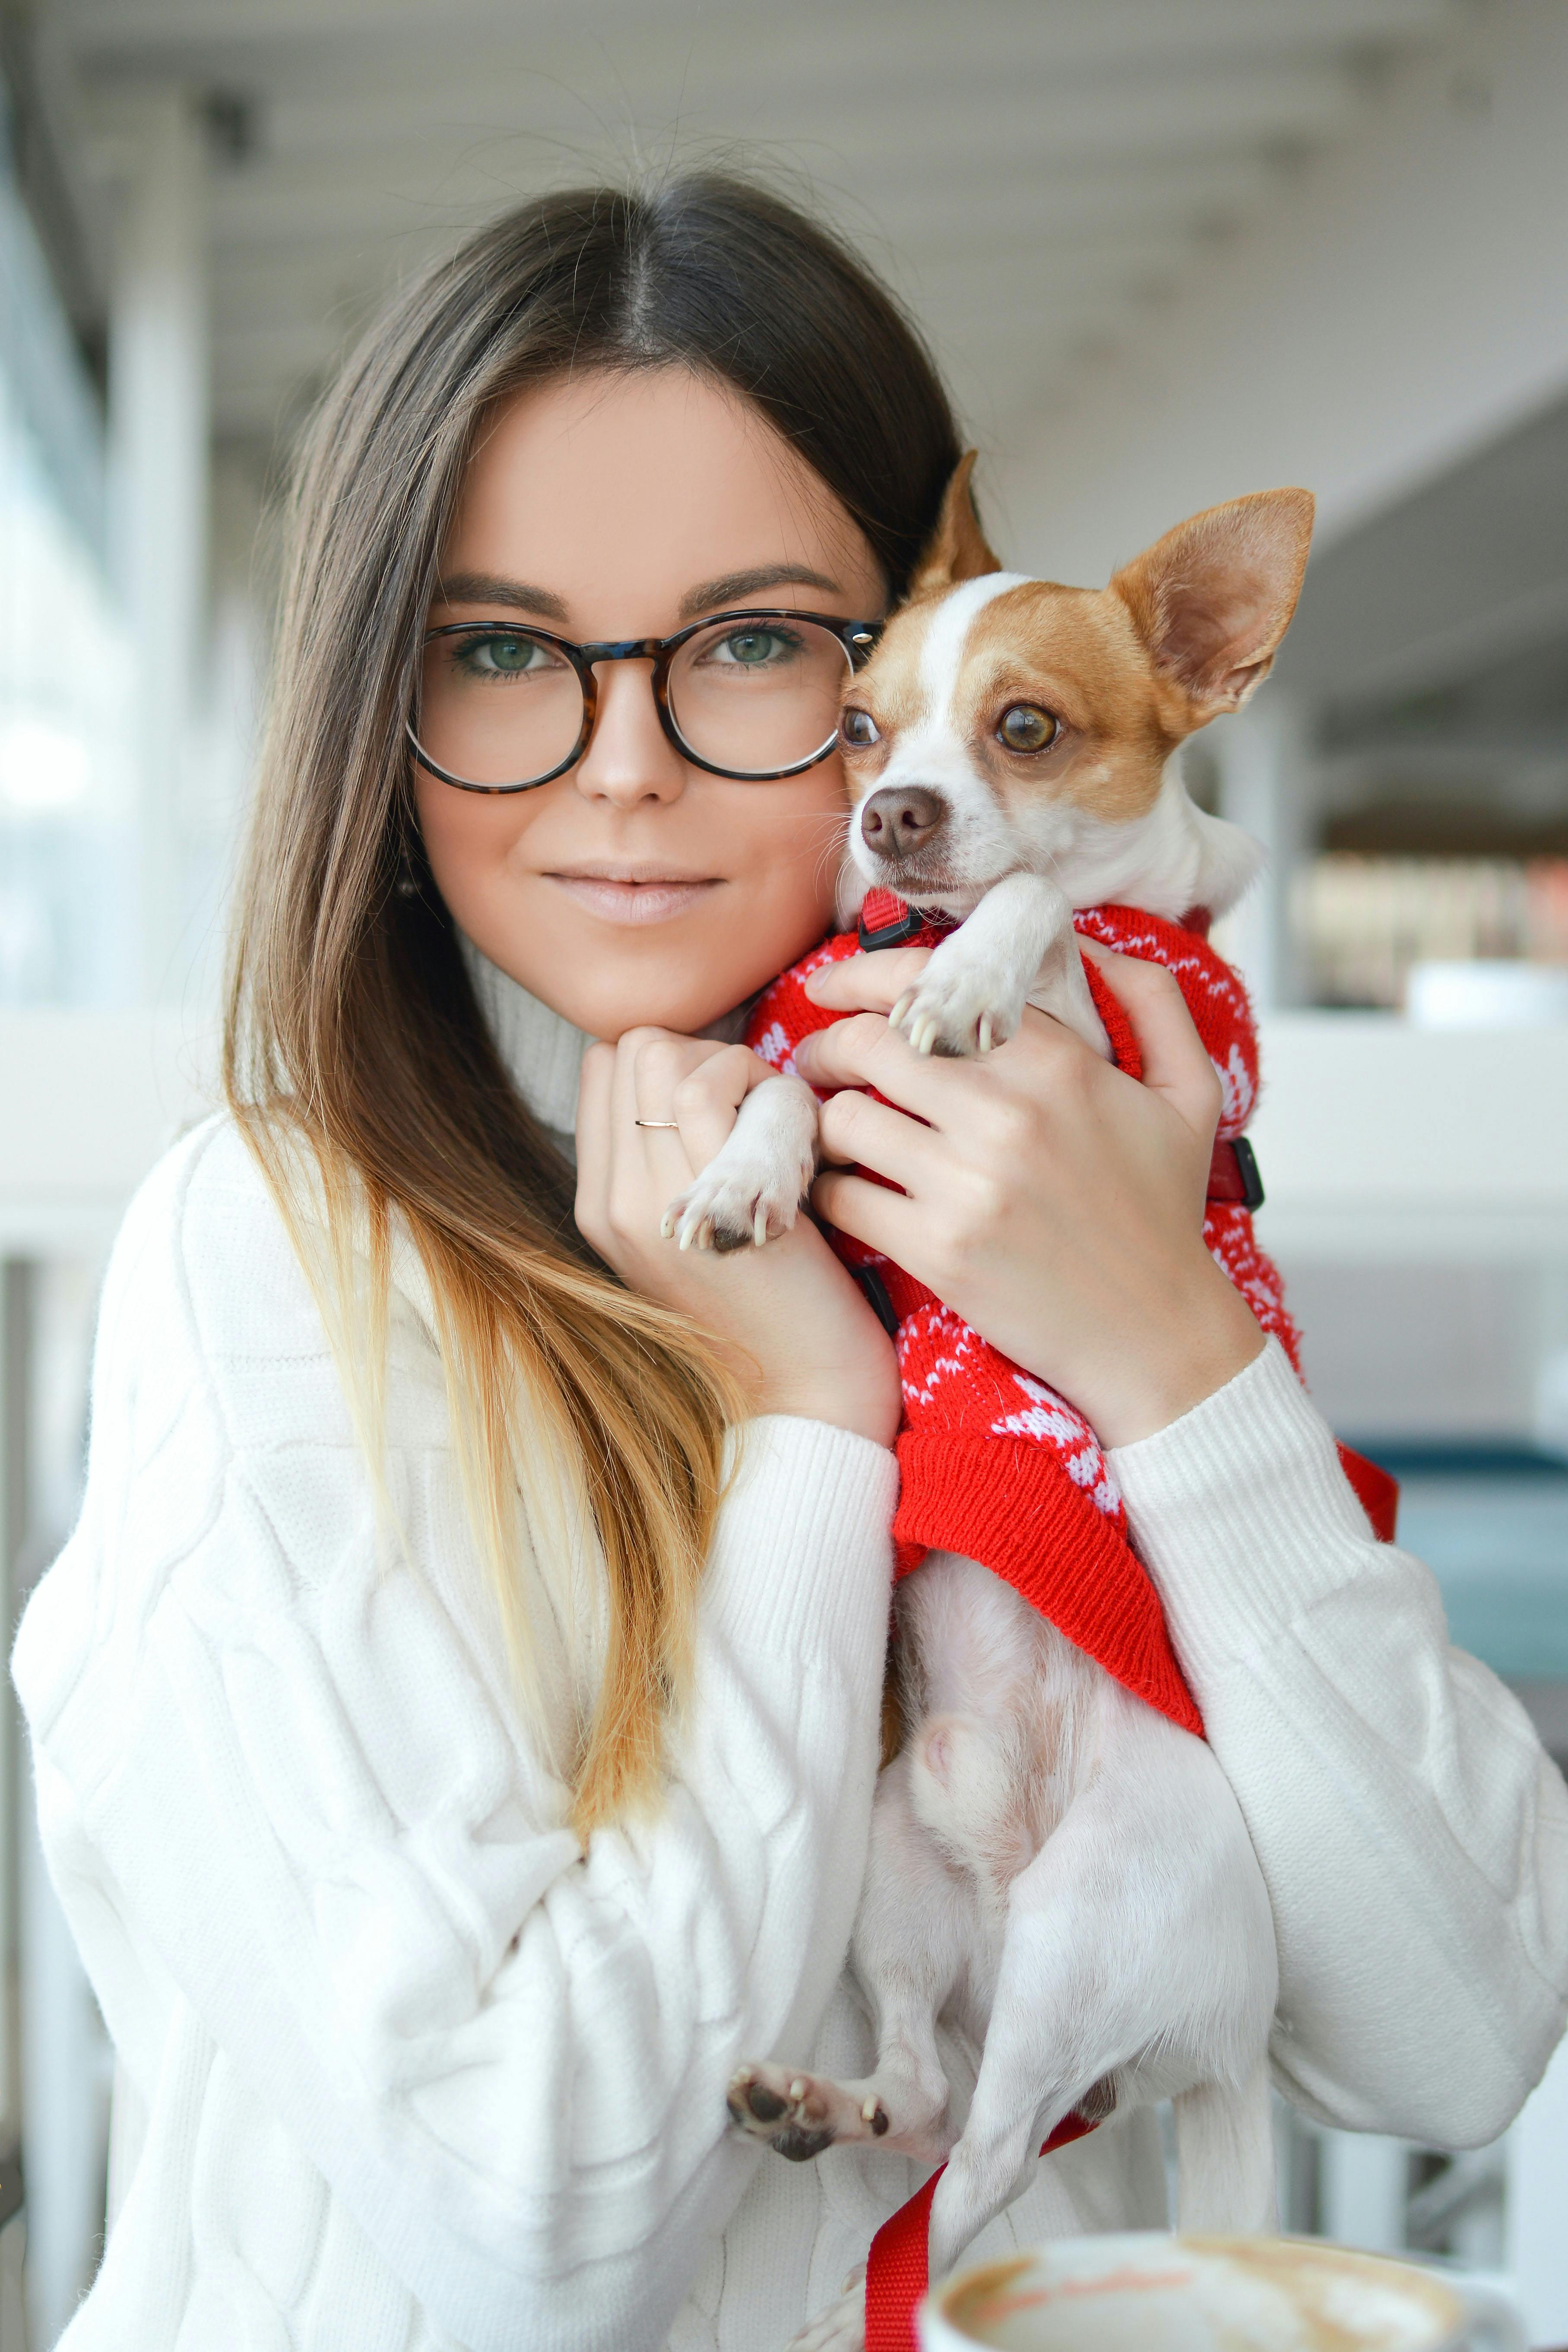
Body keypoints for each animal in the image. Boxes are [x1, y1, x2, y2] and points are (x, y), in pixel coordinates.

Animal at [668, 468, 1316, 2324]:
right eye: (858, 726)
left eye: (1027, 729)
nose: (888, 815)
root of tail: (1231, 2024)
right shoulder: (829, 1066)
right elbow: (792, 1086)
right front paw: (744, 1169)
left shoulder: (1124, 1017)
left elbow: (1043, 918)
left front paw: (974, 974)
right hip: (893, 1878)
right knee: (926, 2090)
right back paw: (816, 2100)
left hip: (1093, 1927)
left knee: (995, 2161)